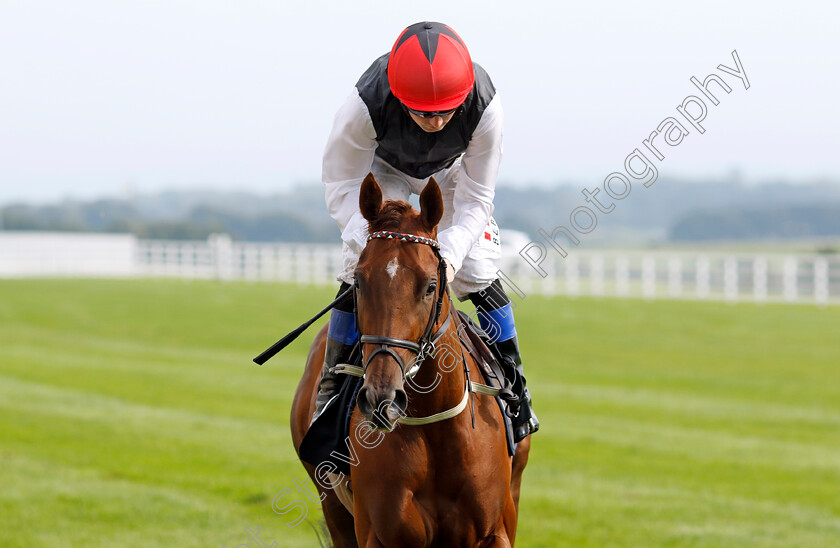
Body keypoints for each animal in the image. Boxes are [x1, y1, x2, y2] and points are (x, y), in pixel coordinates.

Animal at [290, 173, 532, 544]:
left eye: (431, 286)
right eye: (358, 283)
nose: (382, 397)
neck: (435, 426)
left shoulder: (496, 533)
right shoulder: (379, 534)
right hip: (331, 504)